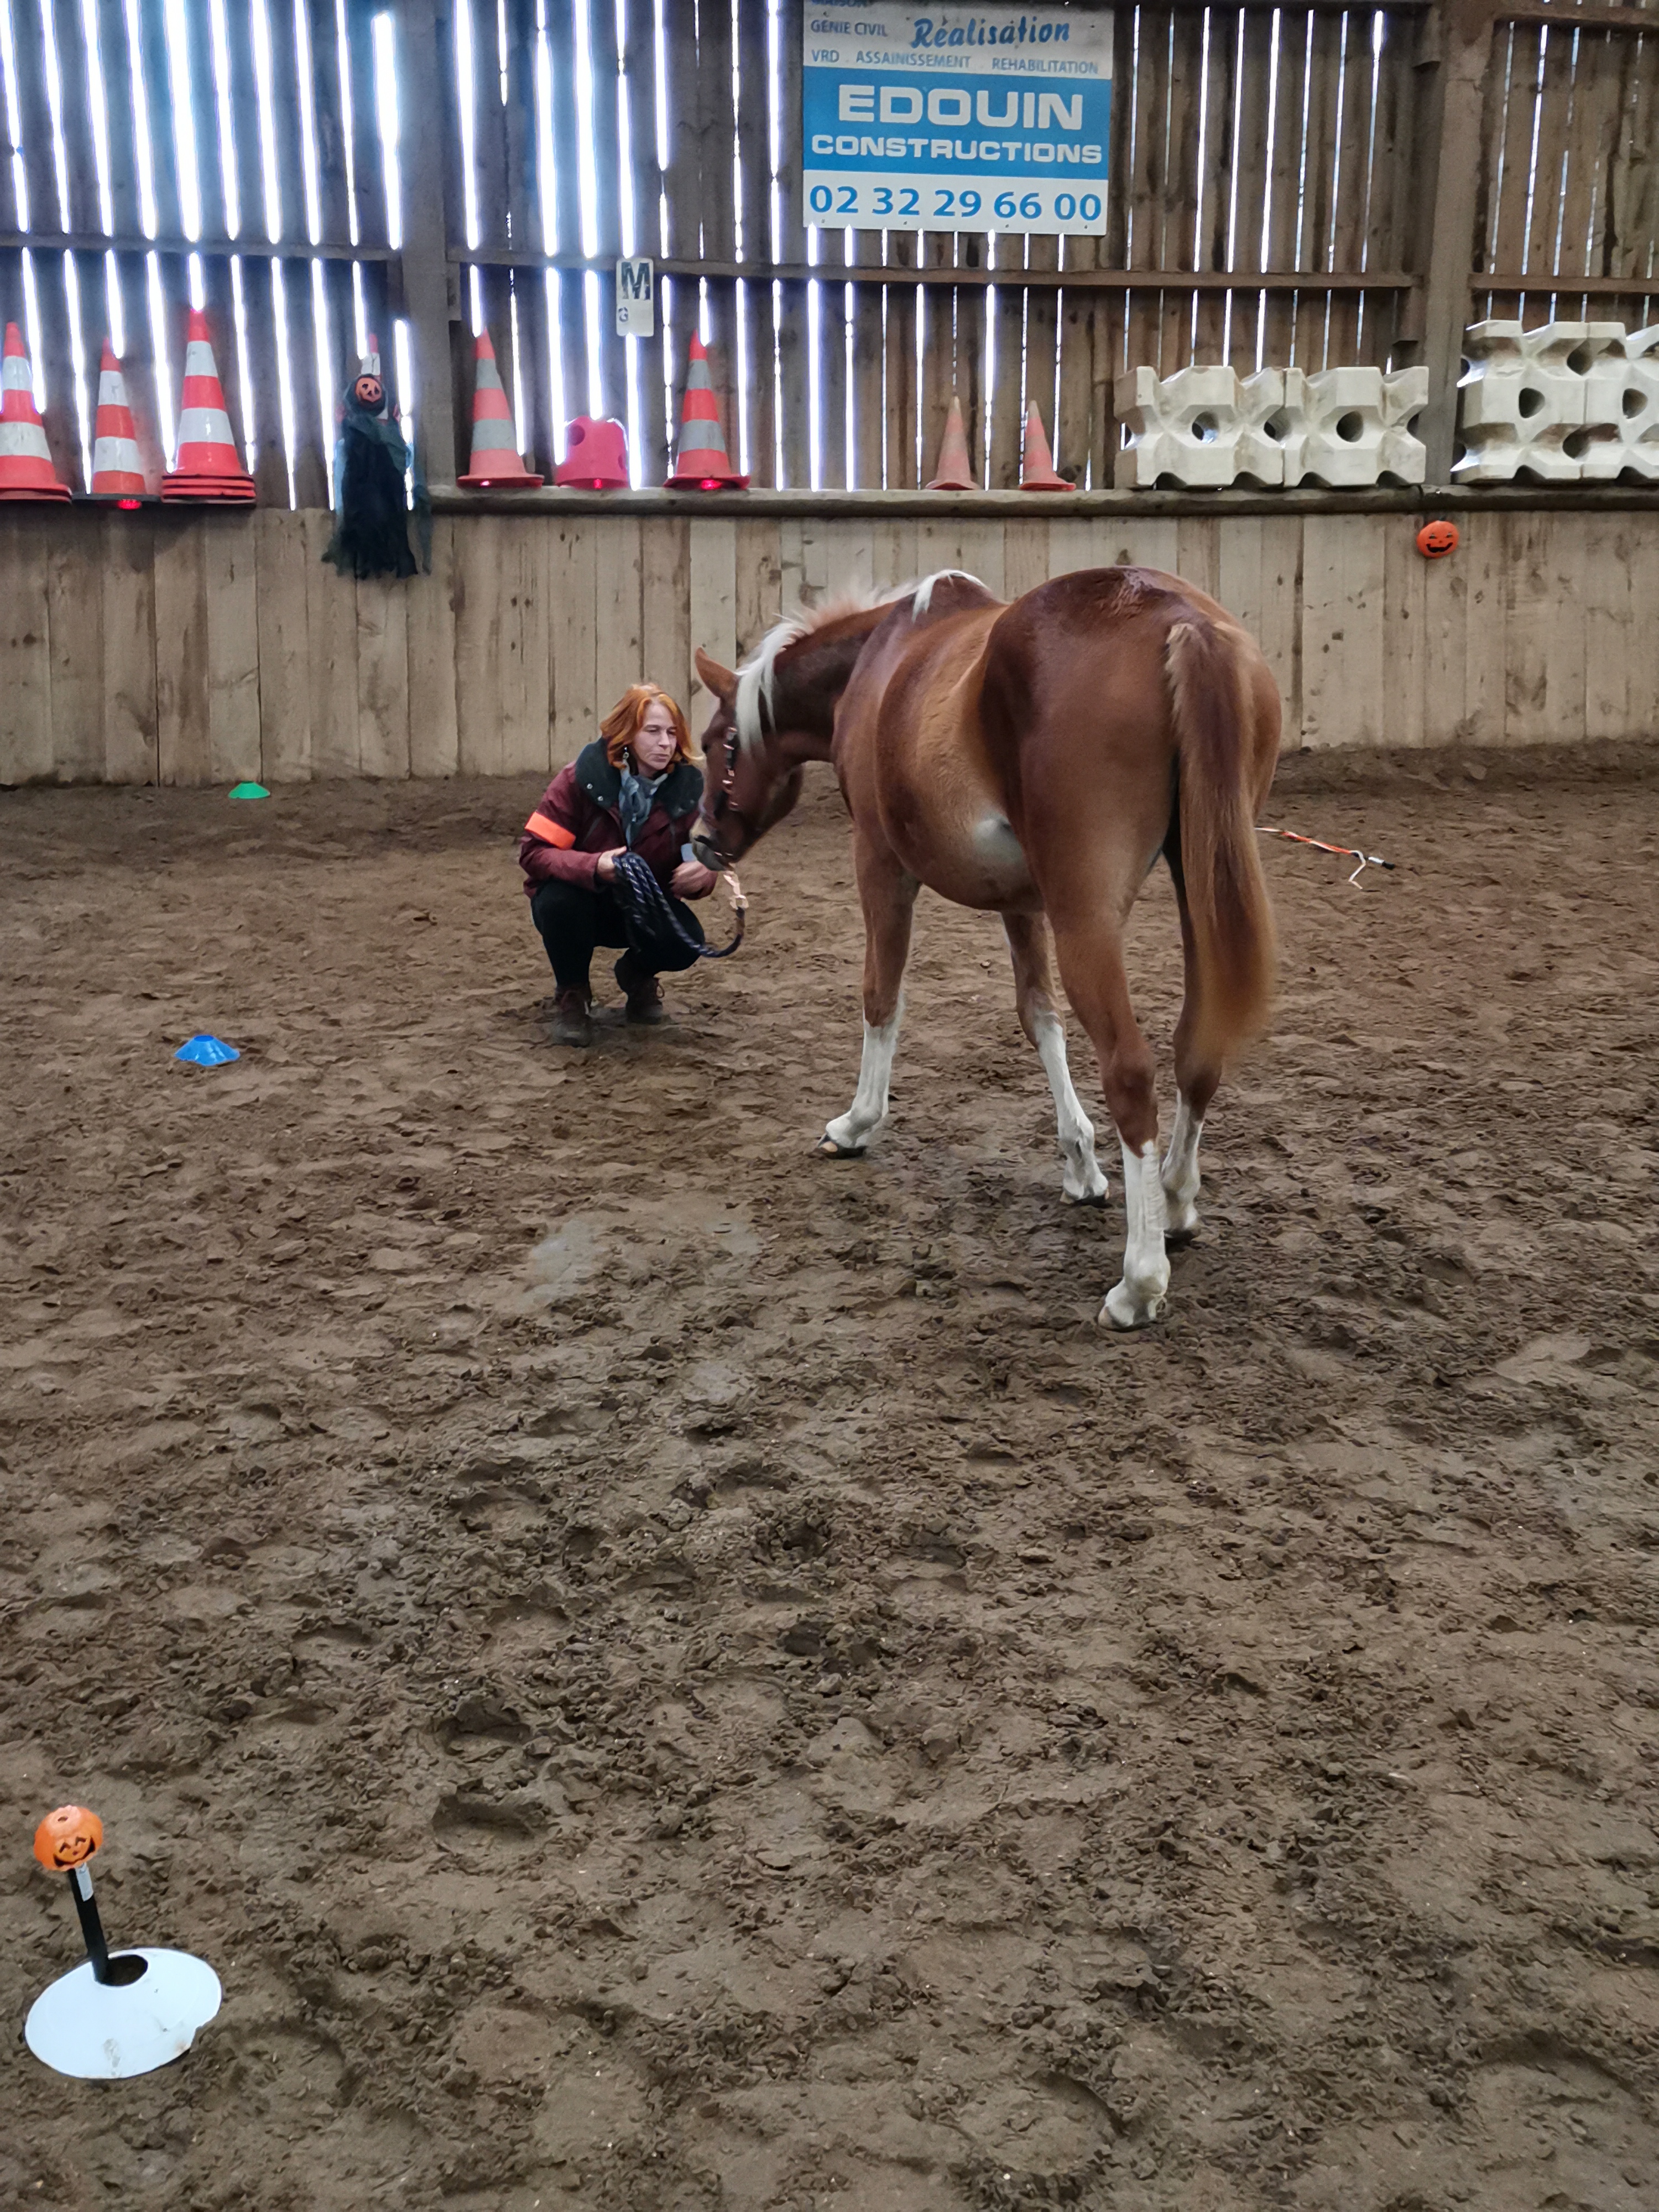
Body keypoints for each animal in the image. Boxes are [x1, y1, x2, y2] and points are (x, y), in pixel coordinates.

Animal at [689, 566, 1280, 1328]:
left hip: (1087, 917)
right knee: (1196, 1051)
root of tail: (1180, 619)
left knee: (1131, 1070)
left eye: (716, 741)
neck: (877, 663)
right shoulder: (1022, 901)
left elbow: (882, 995)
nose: (704, 843)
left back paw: (1139, 1282)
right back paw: (1176, 1203)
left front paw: (856, 1123)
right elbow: (1039, 1017)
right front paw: (1080, 1164)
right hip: (1195, 885)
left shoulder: (880, 863)